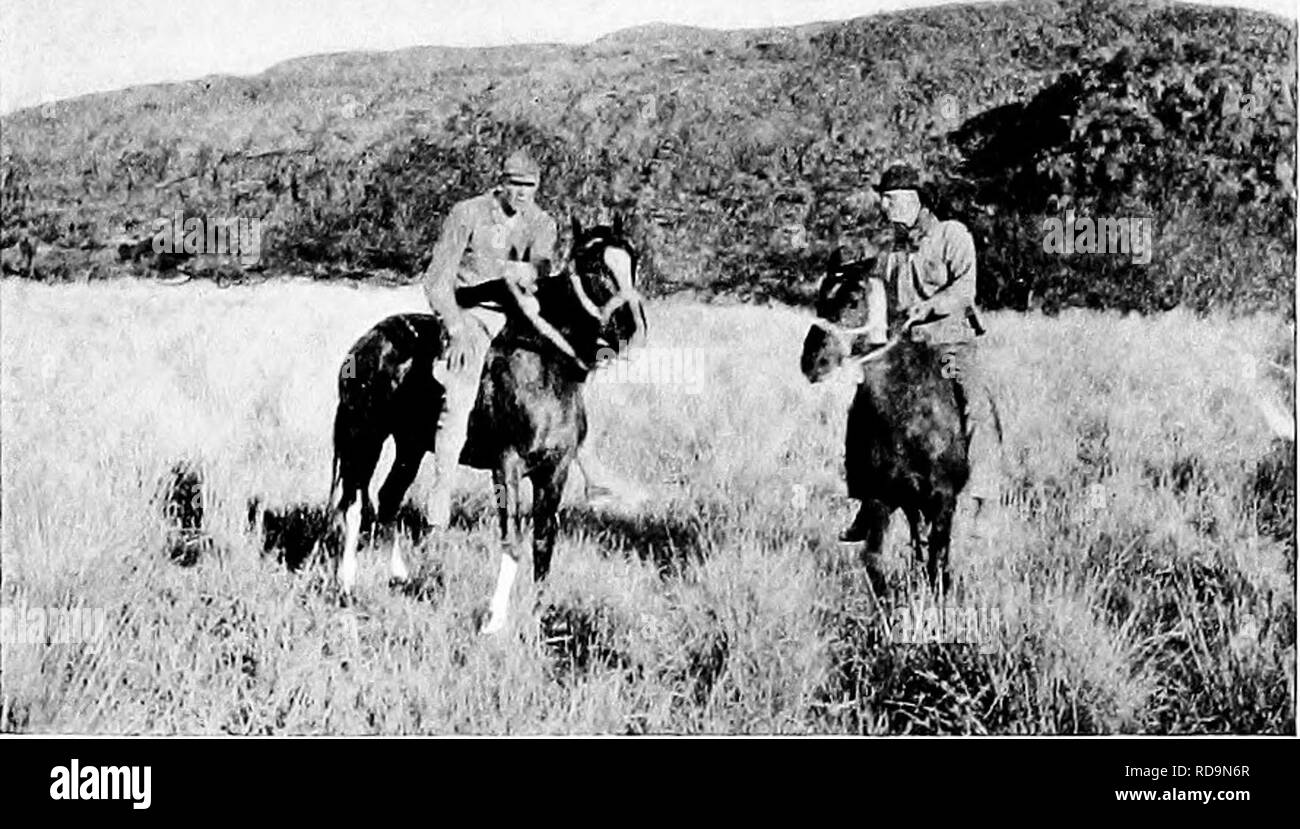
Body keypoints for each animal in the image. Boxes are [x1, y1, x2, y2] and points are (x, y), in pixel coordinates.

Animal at [330, 214, 644, 628]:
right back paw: (347, 587)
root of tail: (364, 343)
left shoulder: (555, 472)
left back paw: (400, 576)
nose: (629, 326)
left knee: (387, 498)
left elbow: (544, 542)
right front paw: (495, 620)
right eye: (593, 266)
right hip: (364, 436)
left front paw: (540, 615)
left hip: (409, 446)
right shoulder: (506, 465)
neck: (543, 365)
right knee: (353, 504)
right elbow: (512, 539)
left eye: (632, 260)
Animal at [795, 249, 972, 595]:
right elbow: (875, 562)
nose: (812, 362)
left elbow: (939, 558)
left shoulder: (943, 498)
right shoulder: (881, 499)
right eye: (820, 298)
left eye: (852, 300)